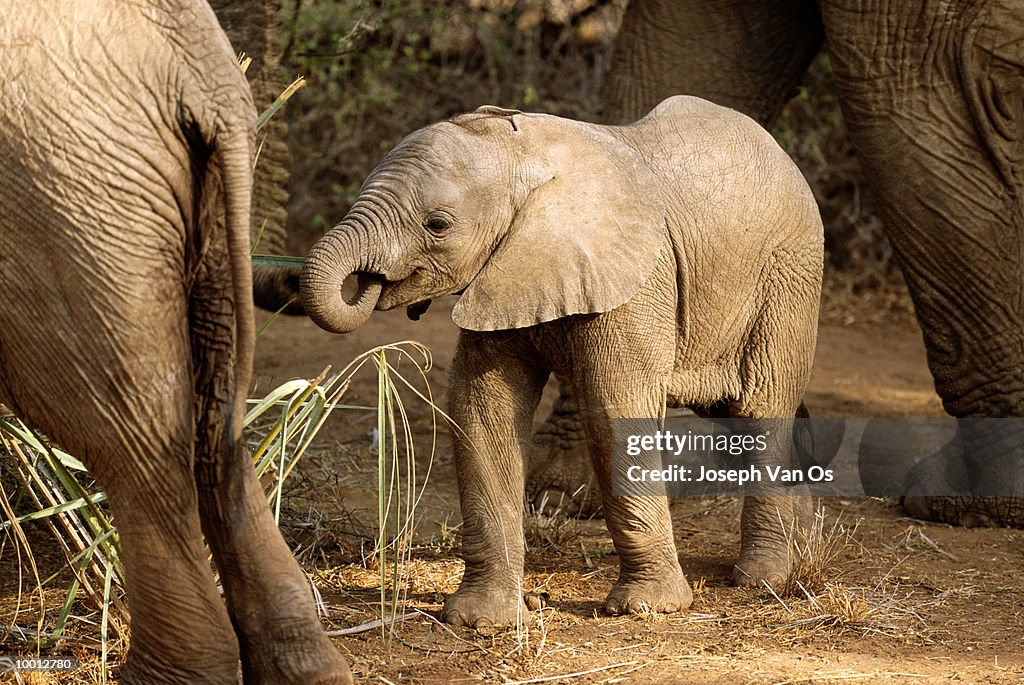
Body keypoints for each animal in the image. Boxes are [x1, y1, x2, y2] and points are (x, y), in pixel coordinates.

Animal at [301, 96, 823, 626]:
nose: (370, 282)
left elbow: (614, 407)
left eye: (438, 225)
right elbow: (482, 407)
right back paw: (801, 552)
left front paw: (646, 608)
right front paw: (480, 621)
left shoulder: (635, 278)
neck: (526, 154)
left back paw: (763, 577)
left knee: (761, 410)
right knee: (739, 412)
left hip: (788, 272)